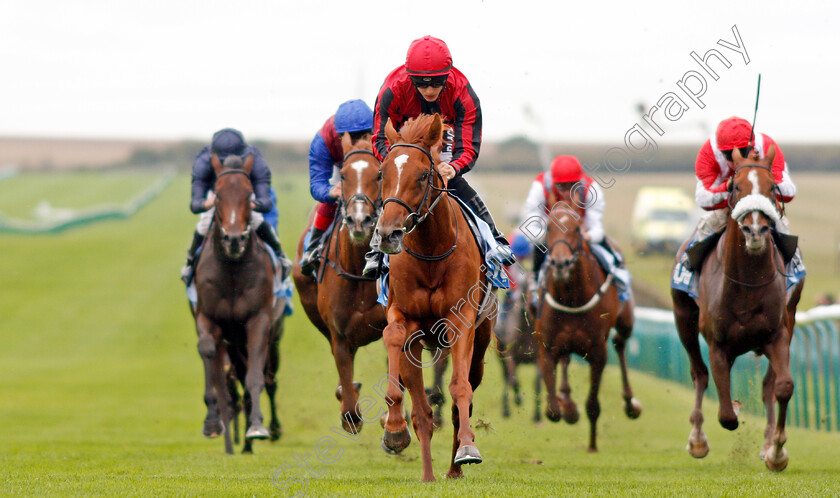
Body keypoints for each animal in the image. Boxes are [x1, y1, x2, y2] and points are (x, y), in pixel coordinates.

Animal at [194, 154, 286, 454]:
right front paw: (213, 421)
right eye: (218, 194)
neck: (232, 270)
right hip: (234, 343)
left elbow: (255, 377)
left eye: (248, 194)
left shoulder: (259, 320)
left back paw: (268, 429)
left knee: (269, 378)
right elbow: (208, 353)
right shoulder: (208, 317)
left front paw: (257, 426)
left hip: (273, 337)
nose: (233, 240)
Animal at [290, 134, 386, 434]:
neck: (359, 270)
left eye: (379, 174)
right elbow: (350, 406)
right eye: (343, 175)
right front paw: (348, 401)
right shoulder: (339, 332)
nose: (359, 220)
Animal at [374, 115, 492, 480]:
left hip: (482, 343)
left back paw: (454, 467)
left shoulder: (461, 319)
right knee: (422, 414)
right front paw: (393, 430)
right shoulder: (403, 315)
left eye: (424, 175)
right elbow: (393, 336)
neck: (430, 253)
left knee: (461, 395)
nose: (389, 233)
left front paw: (468, 448)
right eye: (382, 173)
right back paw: (427, 474)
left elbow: (459, 388)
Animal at [536, 196, 640, 454]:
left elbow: (593, 405)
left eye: (576, 229)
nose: (560, 264)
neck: (571, 297)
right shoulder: (547, 347)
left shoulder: (597, 352)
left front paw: (592, 444)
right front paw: (567, 408)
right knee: (566, 360)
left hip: (626, 321)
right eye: (549, 228)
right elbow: (552, 410)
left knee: (620, 343)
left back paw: (630, 402)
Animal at [672, 145, 804, 470]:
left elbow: (782, 387)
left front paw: (776, 451)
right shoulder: (718, 344)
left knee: (769, 384)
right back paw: (697, 439)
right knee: (699, 373)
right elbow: (726, 416)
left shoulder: (777, 335)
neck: (747, 282)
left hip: (791, 316)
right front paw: (730, 408)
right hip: (683, 318)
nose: (755, 229)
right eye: (735, 187)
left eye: (773, 187)